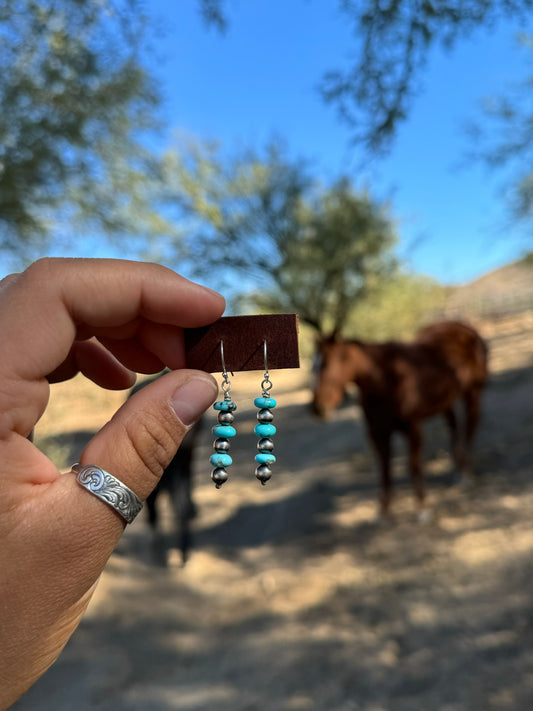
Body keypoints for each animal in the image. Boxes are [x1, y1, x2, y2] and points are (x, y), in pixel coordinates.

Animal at [310, 322, 488, 516]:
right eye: (313, 366)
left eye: (327, 363)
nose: (317, 408)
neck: (386, 380)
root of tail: (467, 329)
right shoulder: (377, 433)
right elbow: (385, 468)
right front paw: (384, 511)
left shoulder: (413, 428)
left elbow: (414, 466)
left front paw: (422, 508)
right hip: (445, 400)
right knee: (453, 426)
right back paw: (458, 469)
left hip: (472, 392)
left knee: (470, 426)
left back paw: (466, 475)